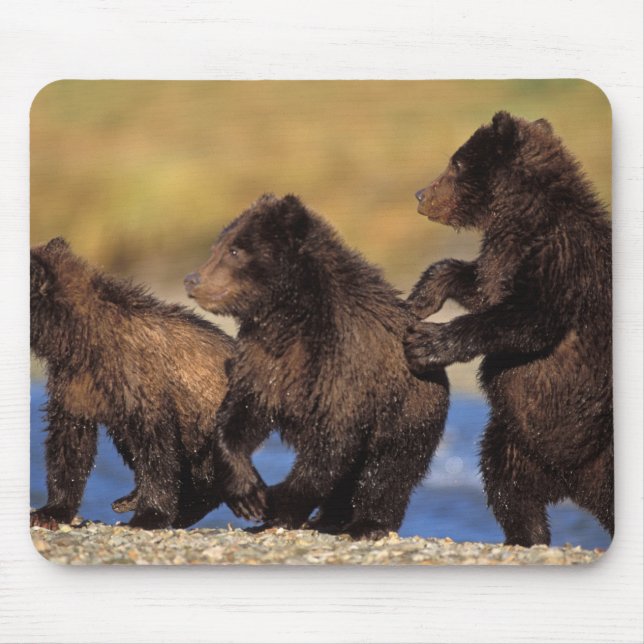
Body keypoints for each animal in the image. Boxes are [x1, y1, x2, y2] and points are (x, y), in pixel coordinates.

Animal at [30, 237, 235, 530]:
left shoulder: (140, 380)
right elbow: (69, 441)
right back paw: (130, 499)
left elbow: (155, 446)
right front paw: (50, 511)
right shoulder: (74, 382)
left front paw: (149, 515)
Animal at [184, 194, 449, 540]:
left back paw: (368, 523)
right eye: (217, 247)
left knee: (388, 468)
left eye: (235, 251)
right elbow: (242, 413)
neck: (288, 314)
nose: (192, 279)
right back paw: (328, 518)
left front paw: (274, 504)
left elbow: (330, 444)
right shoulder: (265, 359)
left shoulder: (342, 364)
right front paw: (247, 492)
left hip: (408, 411)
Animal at [403, 111, 613, 547]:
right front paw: (420, 298)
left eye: (456, 163)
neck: (523, 217)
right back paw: (527, 534)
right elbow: (480, 286)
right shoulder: (504, 256)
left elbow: (525, 320)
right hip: (518, 441)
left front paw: (426, 342)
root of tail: (573, 484)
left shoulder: (563, 260)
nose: (420, 194)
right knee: (506, 484)